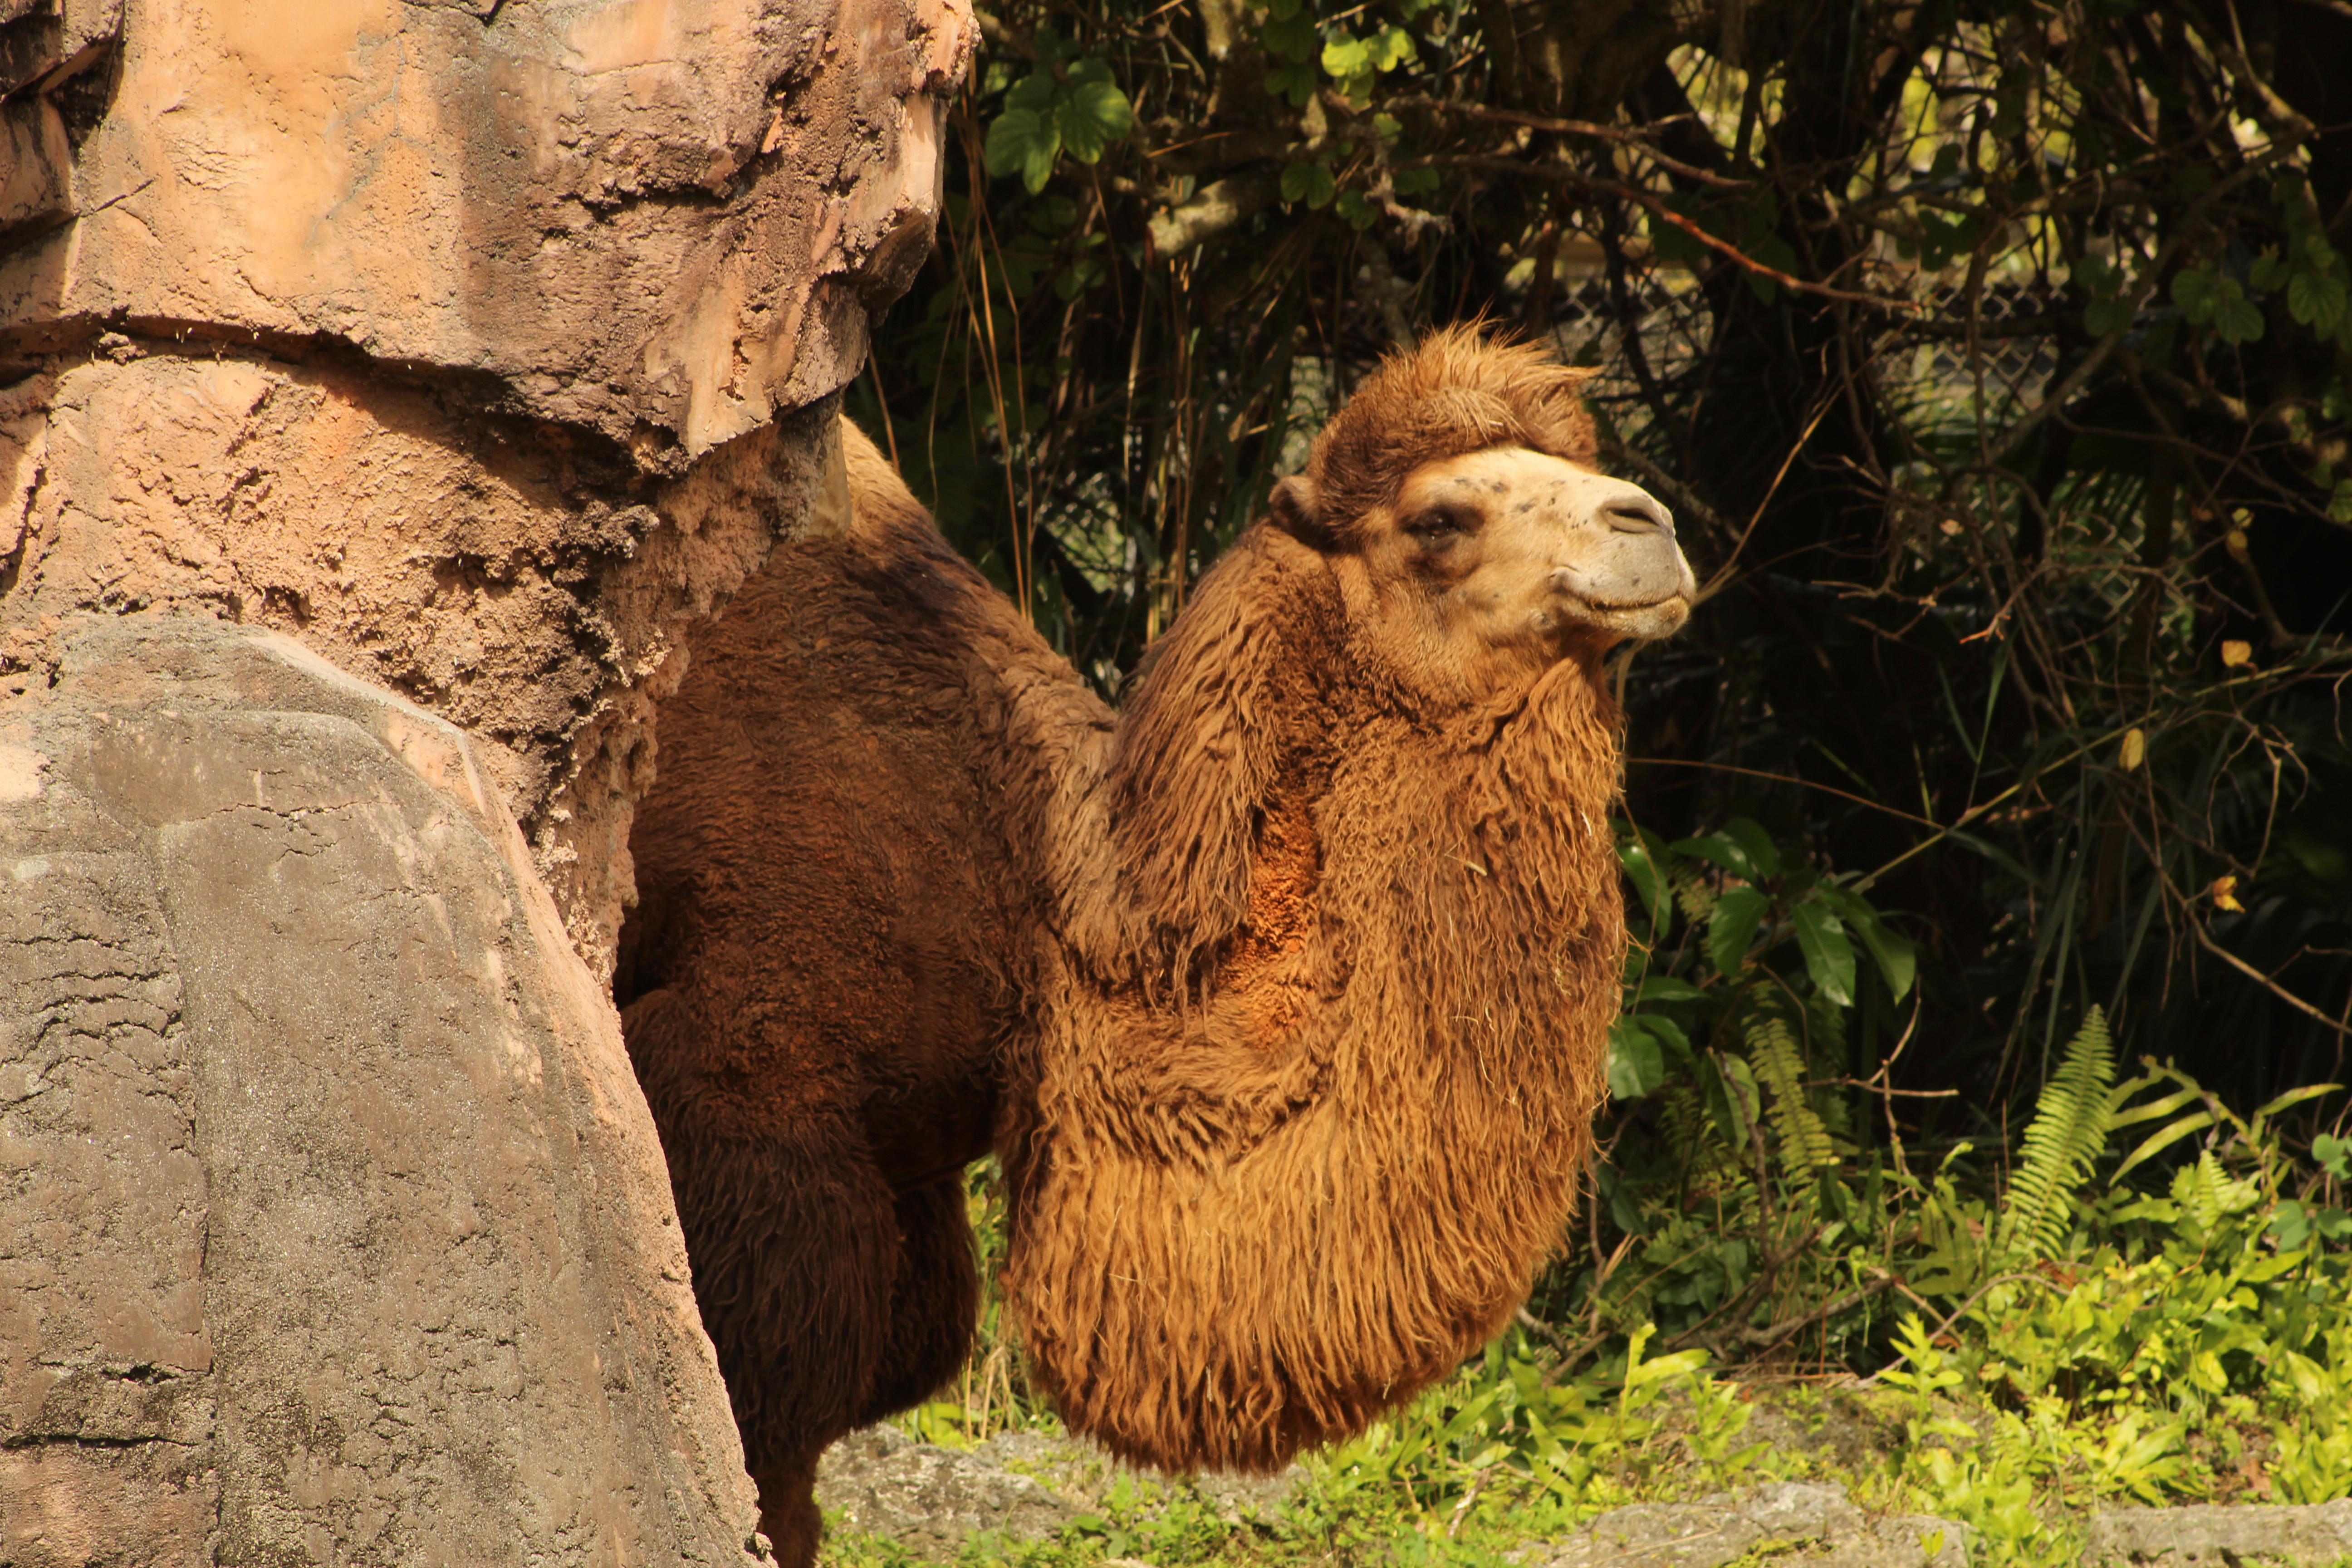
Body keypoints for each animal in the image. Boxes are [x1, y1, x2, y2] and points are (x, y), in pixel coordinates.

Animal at [614, 327, 1697, 1565]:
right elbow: (762, 1439)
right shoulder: (747, 1093)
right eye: (1438, 519)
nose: (1651, 524)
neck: (1039, 906)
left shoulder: (905, 1182)